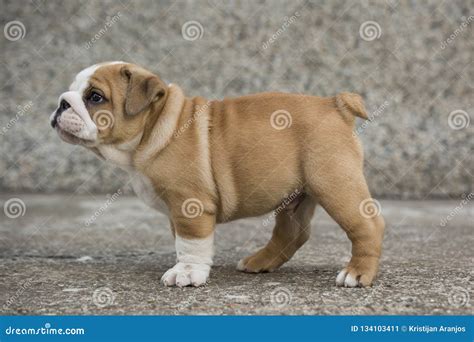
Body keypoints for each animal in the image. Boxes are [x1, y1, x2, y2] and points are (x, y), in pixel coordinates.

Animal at [51, 62, 386, 288]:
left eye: (95, 97)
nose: (61, 102)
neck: (156, 126)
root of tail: (335, 103)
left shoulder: (190, 204)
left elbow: (191, 241)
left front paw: (186, 273)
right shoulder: (176, 211)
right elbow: (184, 241)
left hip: (335, 184)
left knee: (367, 224)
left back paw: (357, 273)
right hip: (296, 196)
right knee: (292, 232)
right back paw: (259, 262)